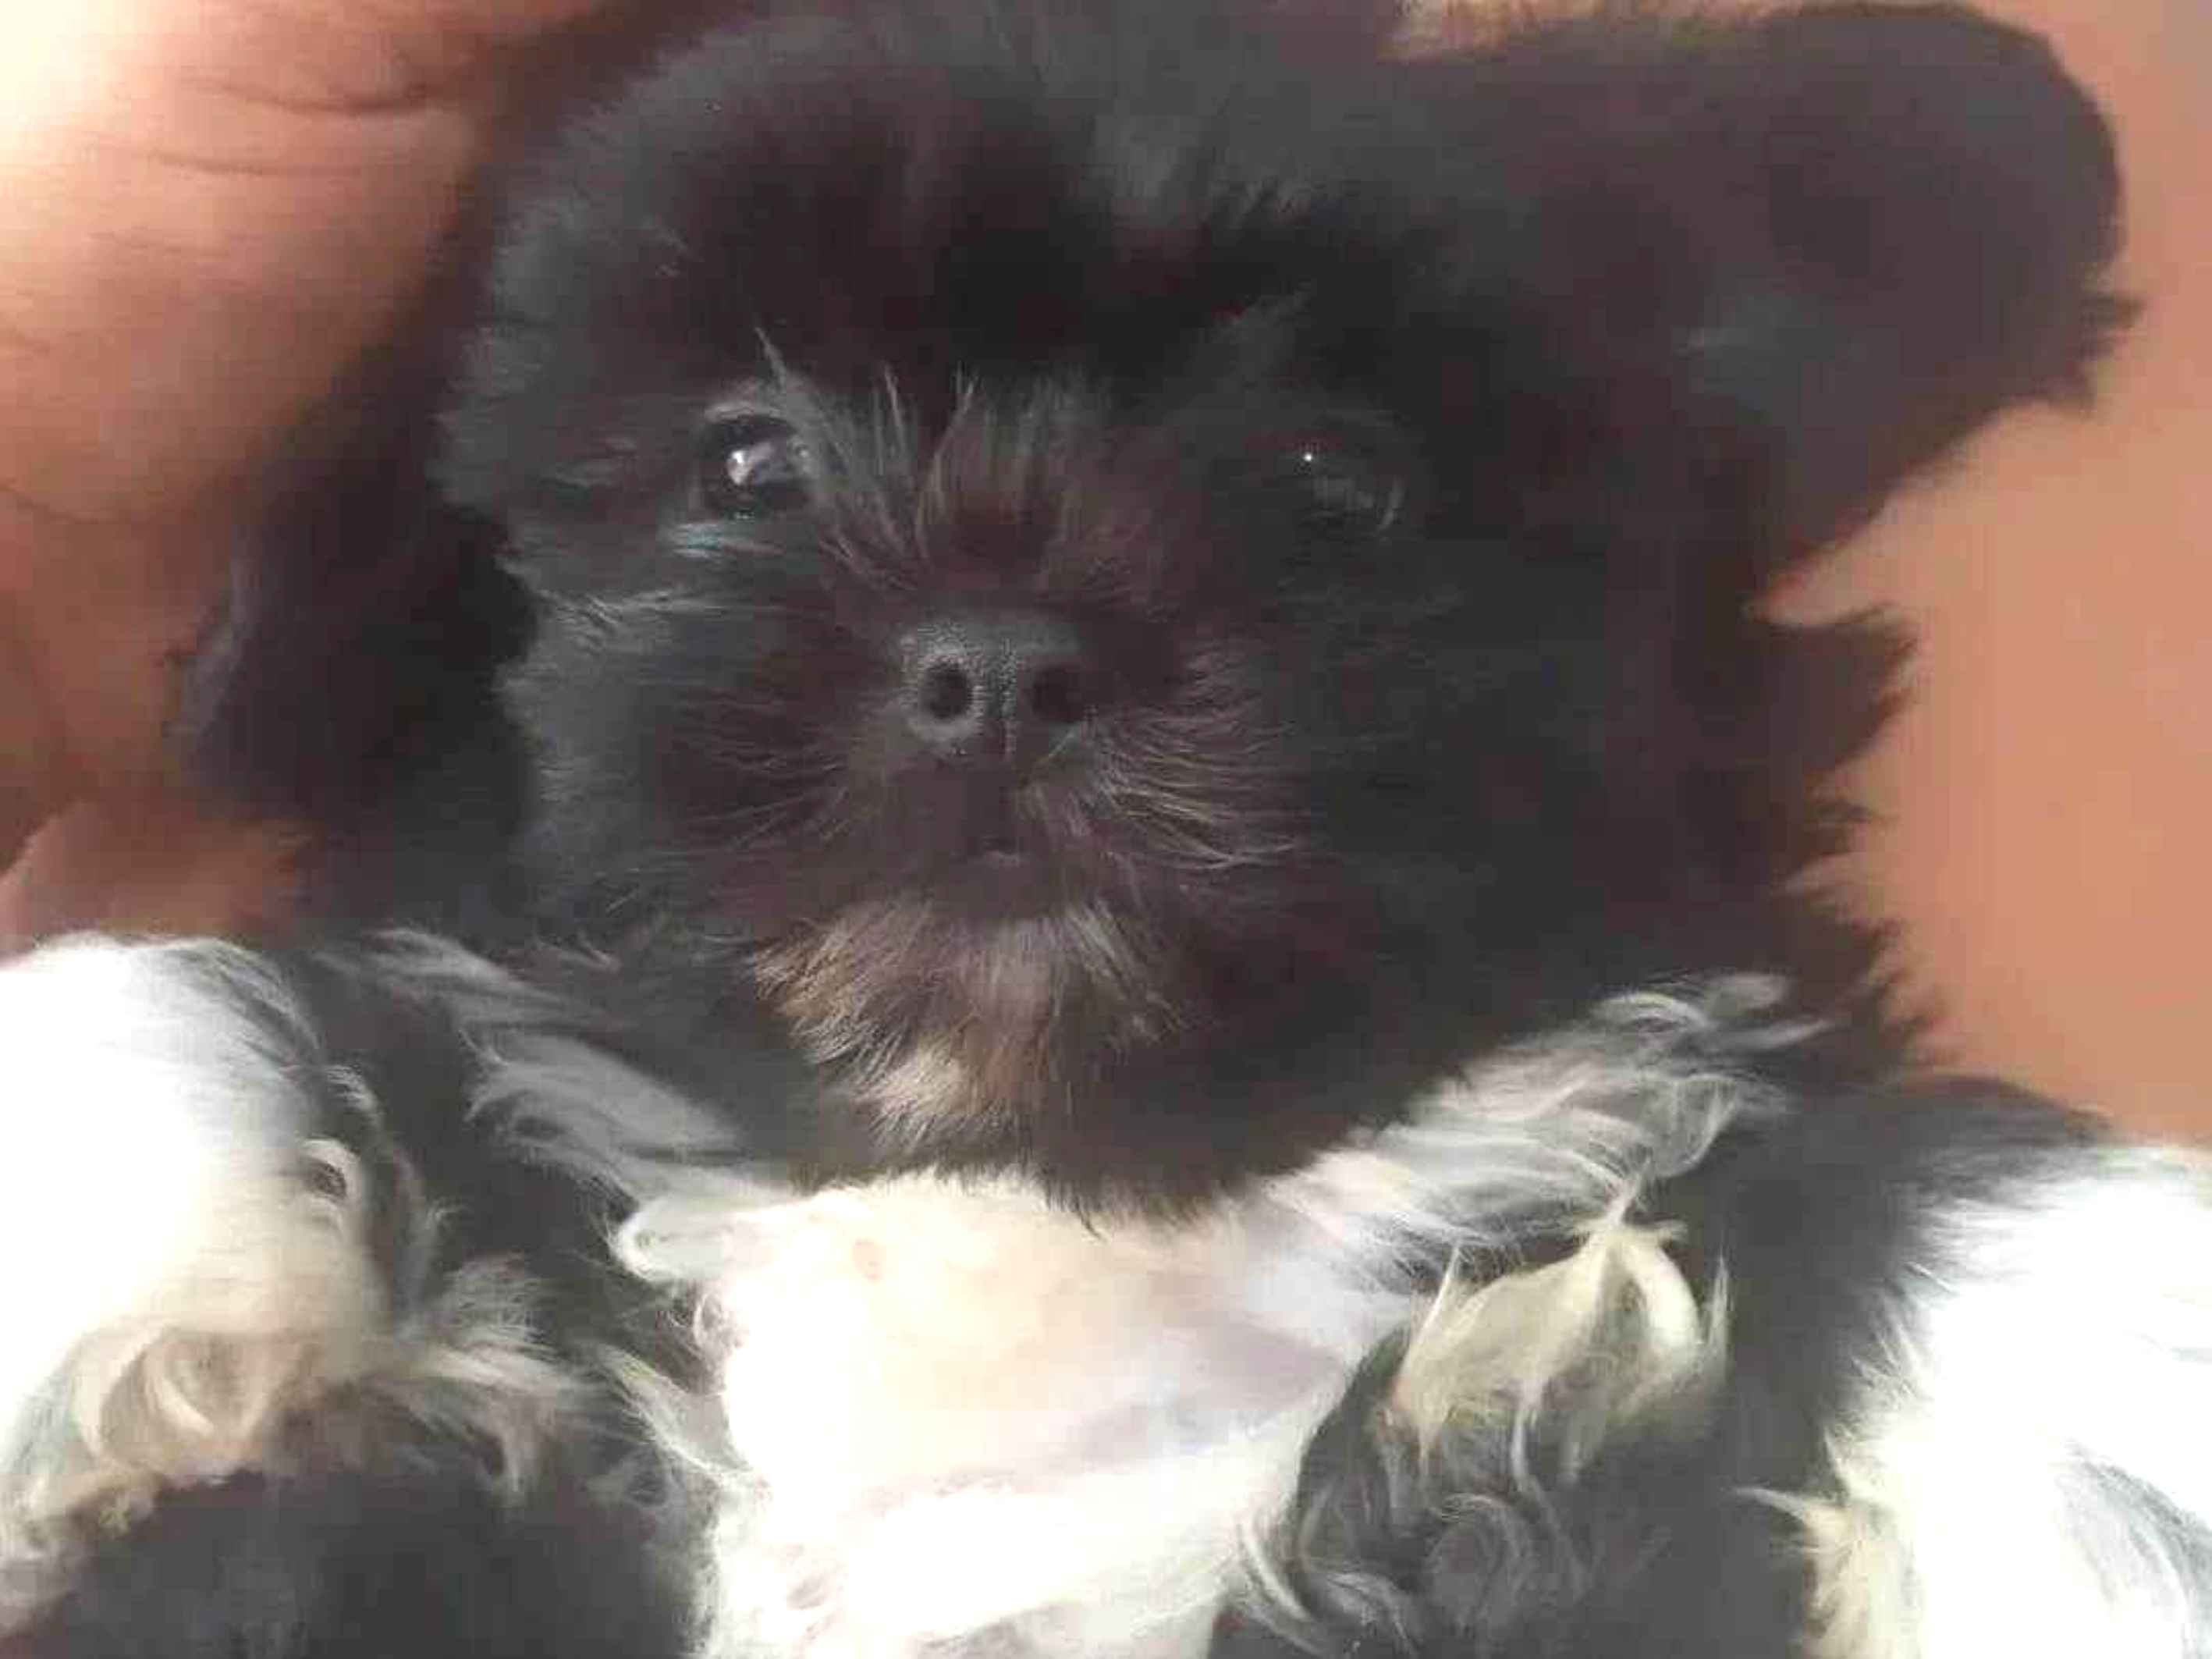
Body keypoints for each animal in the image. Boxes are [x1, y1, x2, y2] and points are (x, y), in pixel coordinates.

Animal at [7, 1, 2206, 1656]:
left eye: (1335, 475)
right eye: (746, 463)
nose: (1001, 659)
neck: (1040, 1199)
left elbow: (1940, 1191)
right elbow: (216, 1025)